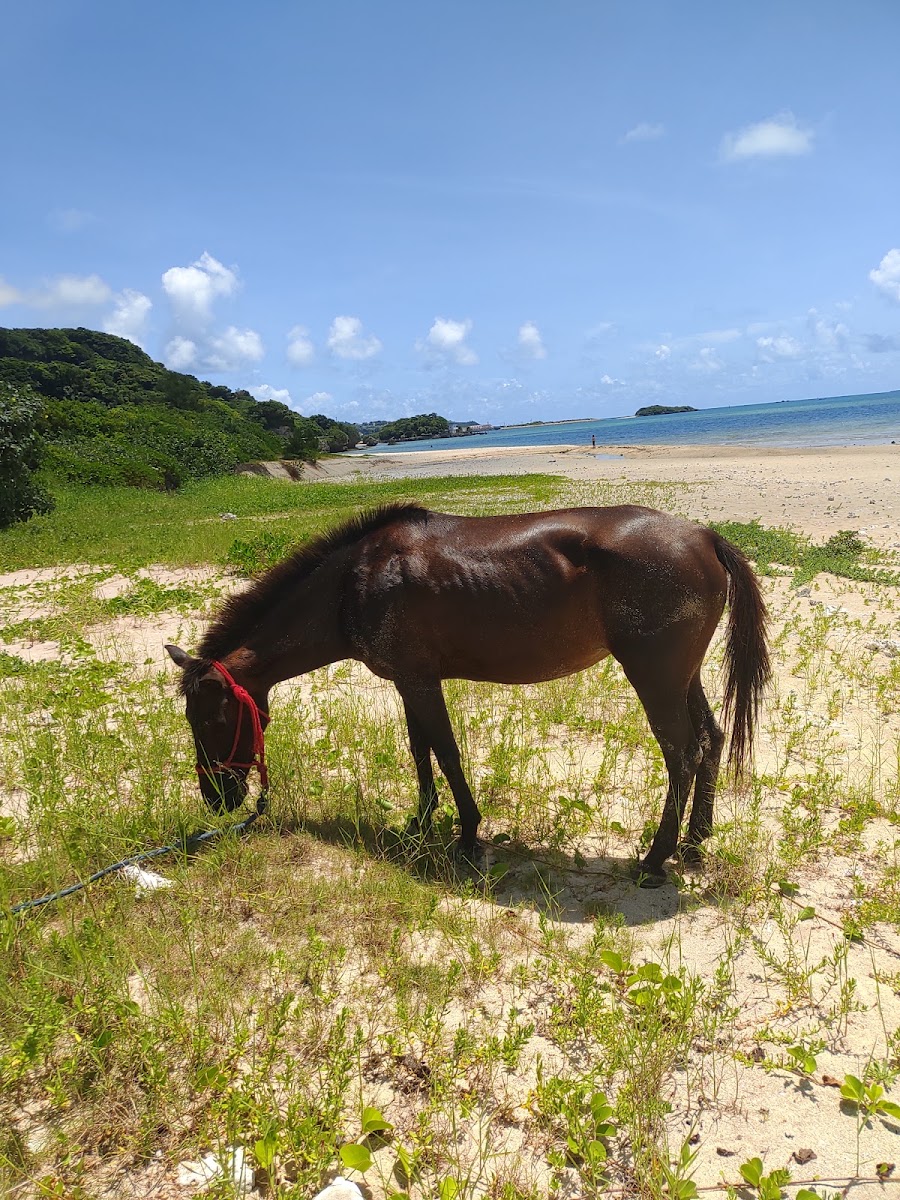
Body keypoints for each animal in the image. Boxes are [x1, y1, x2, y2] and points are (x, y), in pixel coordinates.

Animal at [166, 503, 769, 886]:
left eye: (210, 720)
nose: (216, 800)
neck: (352, 584)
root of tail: (705, 537)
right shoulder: (409, 681)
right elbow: (421, 752)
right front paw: (420, 823)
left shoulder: (419, 681)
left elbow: (447, 753)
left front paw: (468, 835)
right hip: (680, 675)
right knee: (710, 740)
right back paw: (694, 842)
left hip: (654, 677)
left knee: (681, 755)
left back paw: (656, 858)